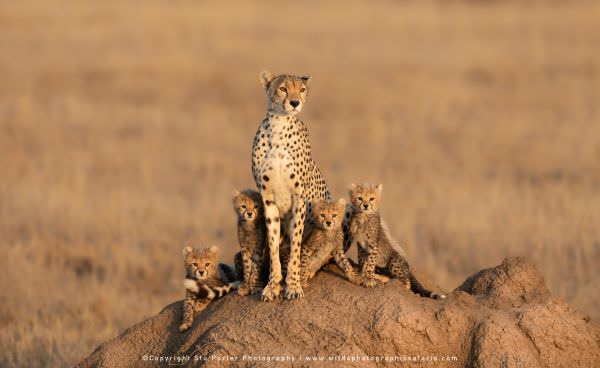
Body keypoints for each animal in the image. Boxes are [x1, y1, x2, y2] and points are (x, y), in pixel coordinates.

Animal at [252, 70, 330, 300]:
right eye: (283, 88)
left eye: (302, 89)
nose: (295, 103)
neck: (279, 125)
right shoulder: (268, 199)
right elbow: (273, 245)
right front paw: (272, 285)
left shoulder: (299, 199)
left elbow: (296, 245)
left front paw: (293, 285)